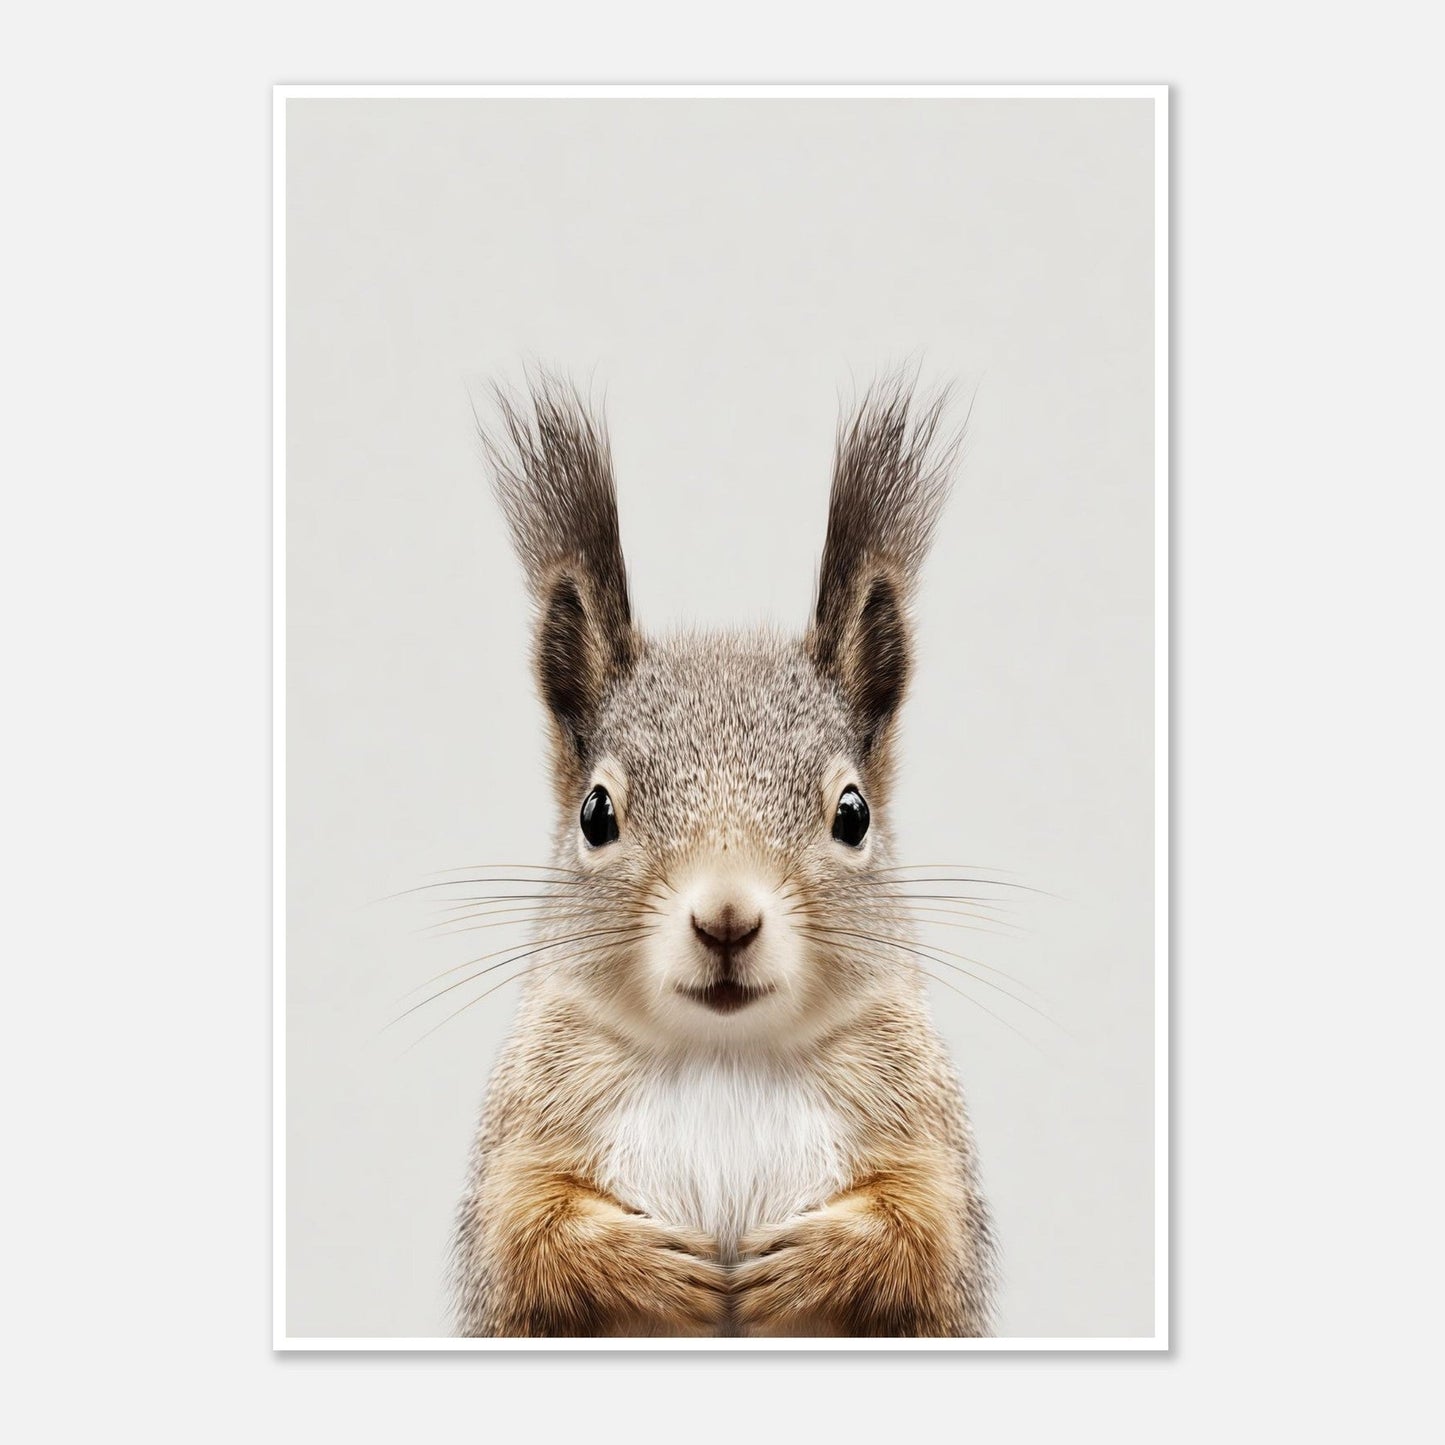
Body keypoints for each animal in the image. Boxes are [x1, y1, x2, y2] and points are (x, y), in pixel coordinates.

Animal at [452, 373, 995, 1337]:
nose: (727, 917)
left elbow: (924, 1235)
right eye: (596, 812)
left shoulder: (924, 1137)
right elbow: (524, 1237)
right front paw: (646, 1261)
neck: (724, 1055)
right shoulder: (524, 1137)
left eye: (852, 813)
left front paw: (814, 1257)